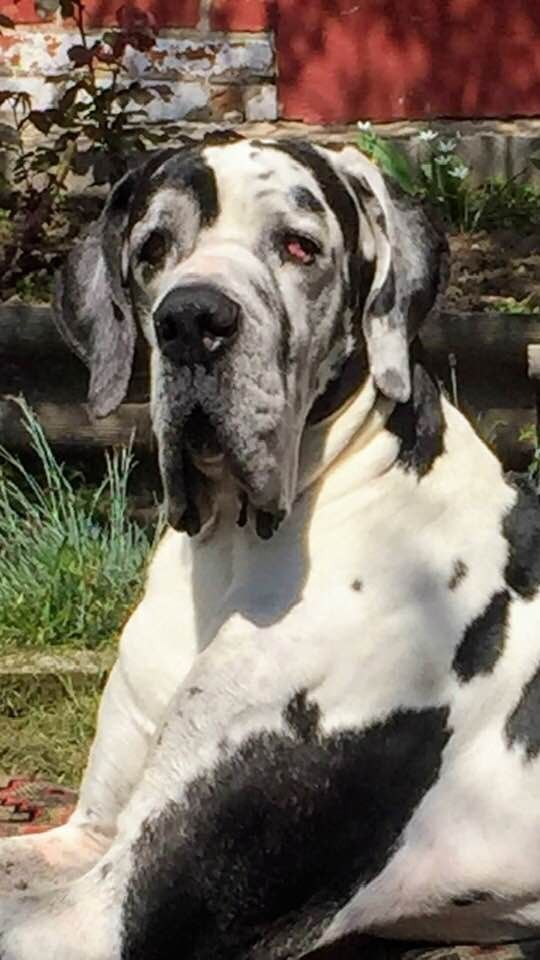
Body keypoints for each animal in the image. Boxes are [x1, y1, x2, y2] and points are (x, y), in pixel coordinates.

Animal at [1, 136, 540, 960]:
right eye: (152, 249)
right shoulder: (88, 838)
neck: (229, 554)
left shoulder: (117, 908)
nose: (190, 320)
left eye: (298, 246)